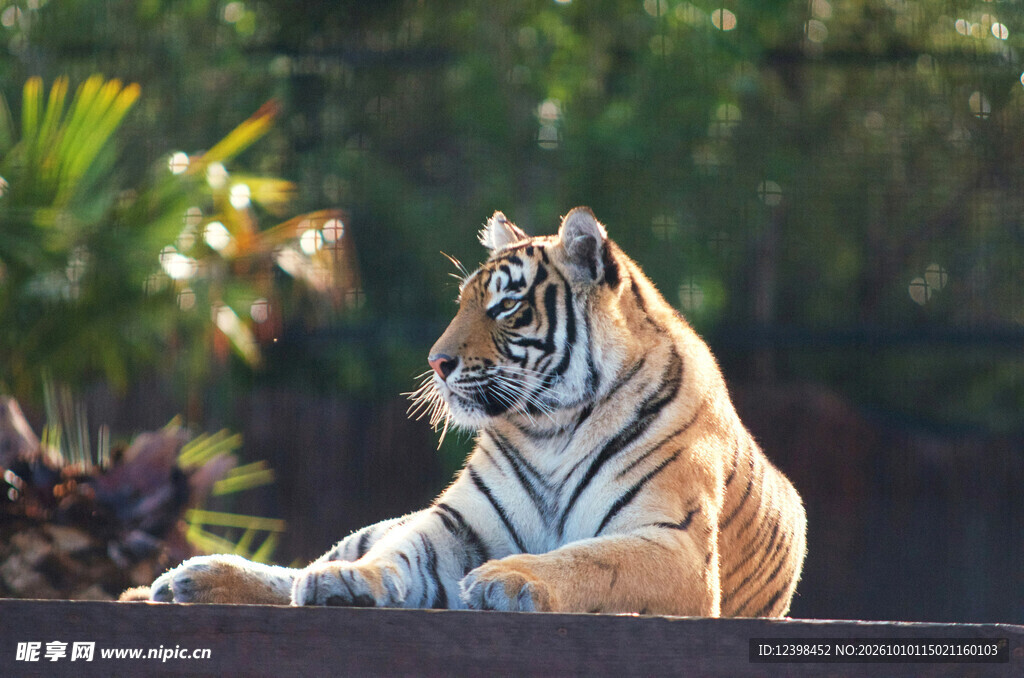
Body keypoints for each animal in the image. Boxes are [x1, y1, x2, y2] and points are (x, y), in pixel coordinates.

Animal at [130, 207, 807, 618]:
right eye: (461, 302)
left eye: (505, 306)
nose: (436, 362)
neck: (554, 426)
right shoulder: (457, 522)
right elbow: (396, 555)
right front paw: (346, 584)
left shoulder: (675, 543)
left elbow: (592, 558)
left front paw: (510, 579)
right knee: (311, 561)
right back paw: (182, 581)